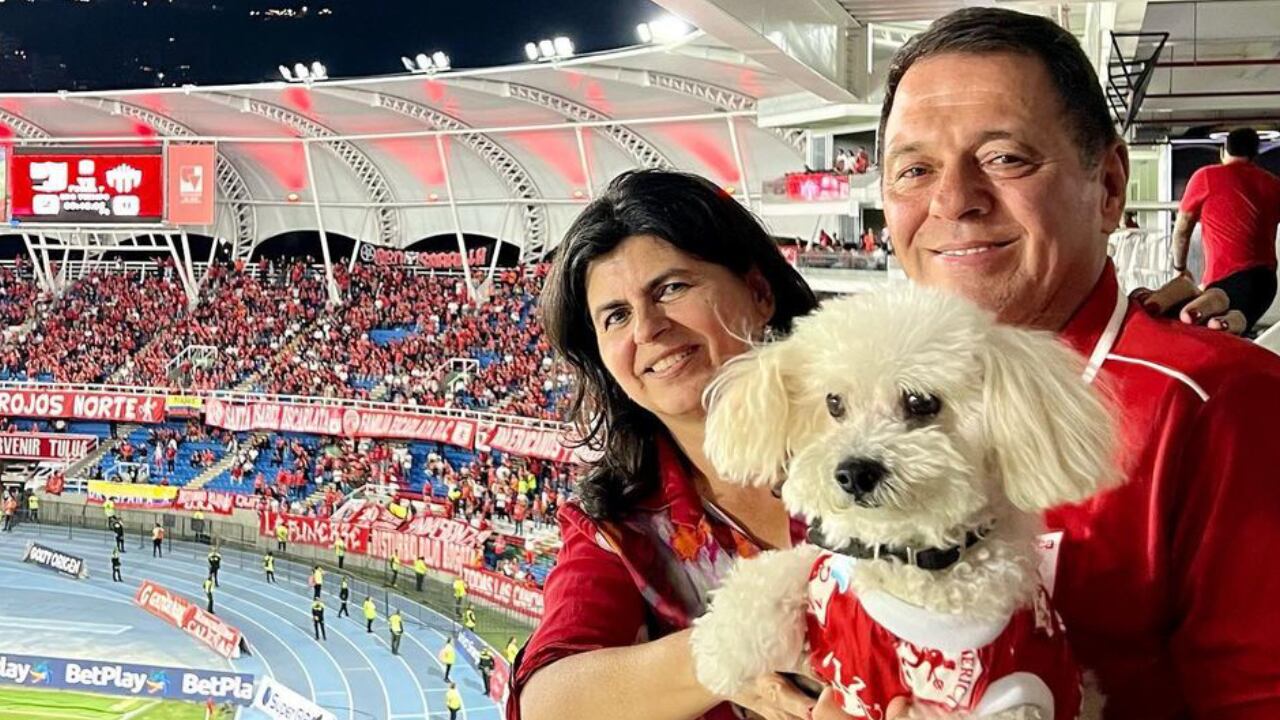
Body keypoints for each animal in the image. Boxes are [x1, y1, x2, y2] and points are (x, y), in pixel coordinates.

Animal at [686, 285, 1116, 717]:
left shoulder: (1001, 695)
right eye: (834, 403)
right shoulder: (830, 581)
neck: (904, 558)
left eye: (921, 402)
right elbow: (786, 566)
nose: (854, 472)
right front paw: (721, 648)